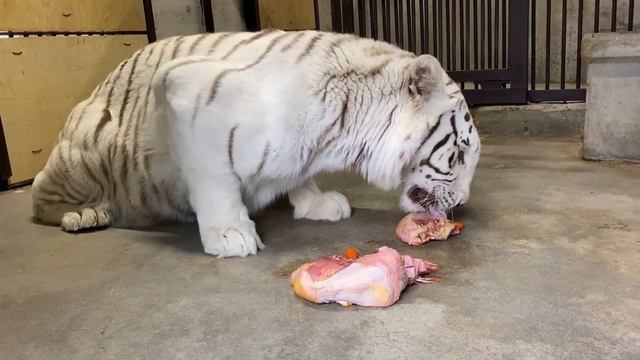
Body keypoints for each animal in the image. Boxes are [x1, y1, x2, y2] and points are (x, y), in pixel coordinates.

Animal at [30, 30, 480, 256]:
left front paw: (316, 203)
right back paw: (83, 215)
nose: (462, 203)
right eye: (458, 155)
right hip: (87, 145)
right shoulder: (186, 93)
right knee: (39, 193)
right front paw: (230, 234)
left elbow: (297, 176)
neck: (340, 131)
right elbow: (216, 181)